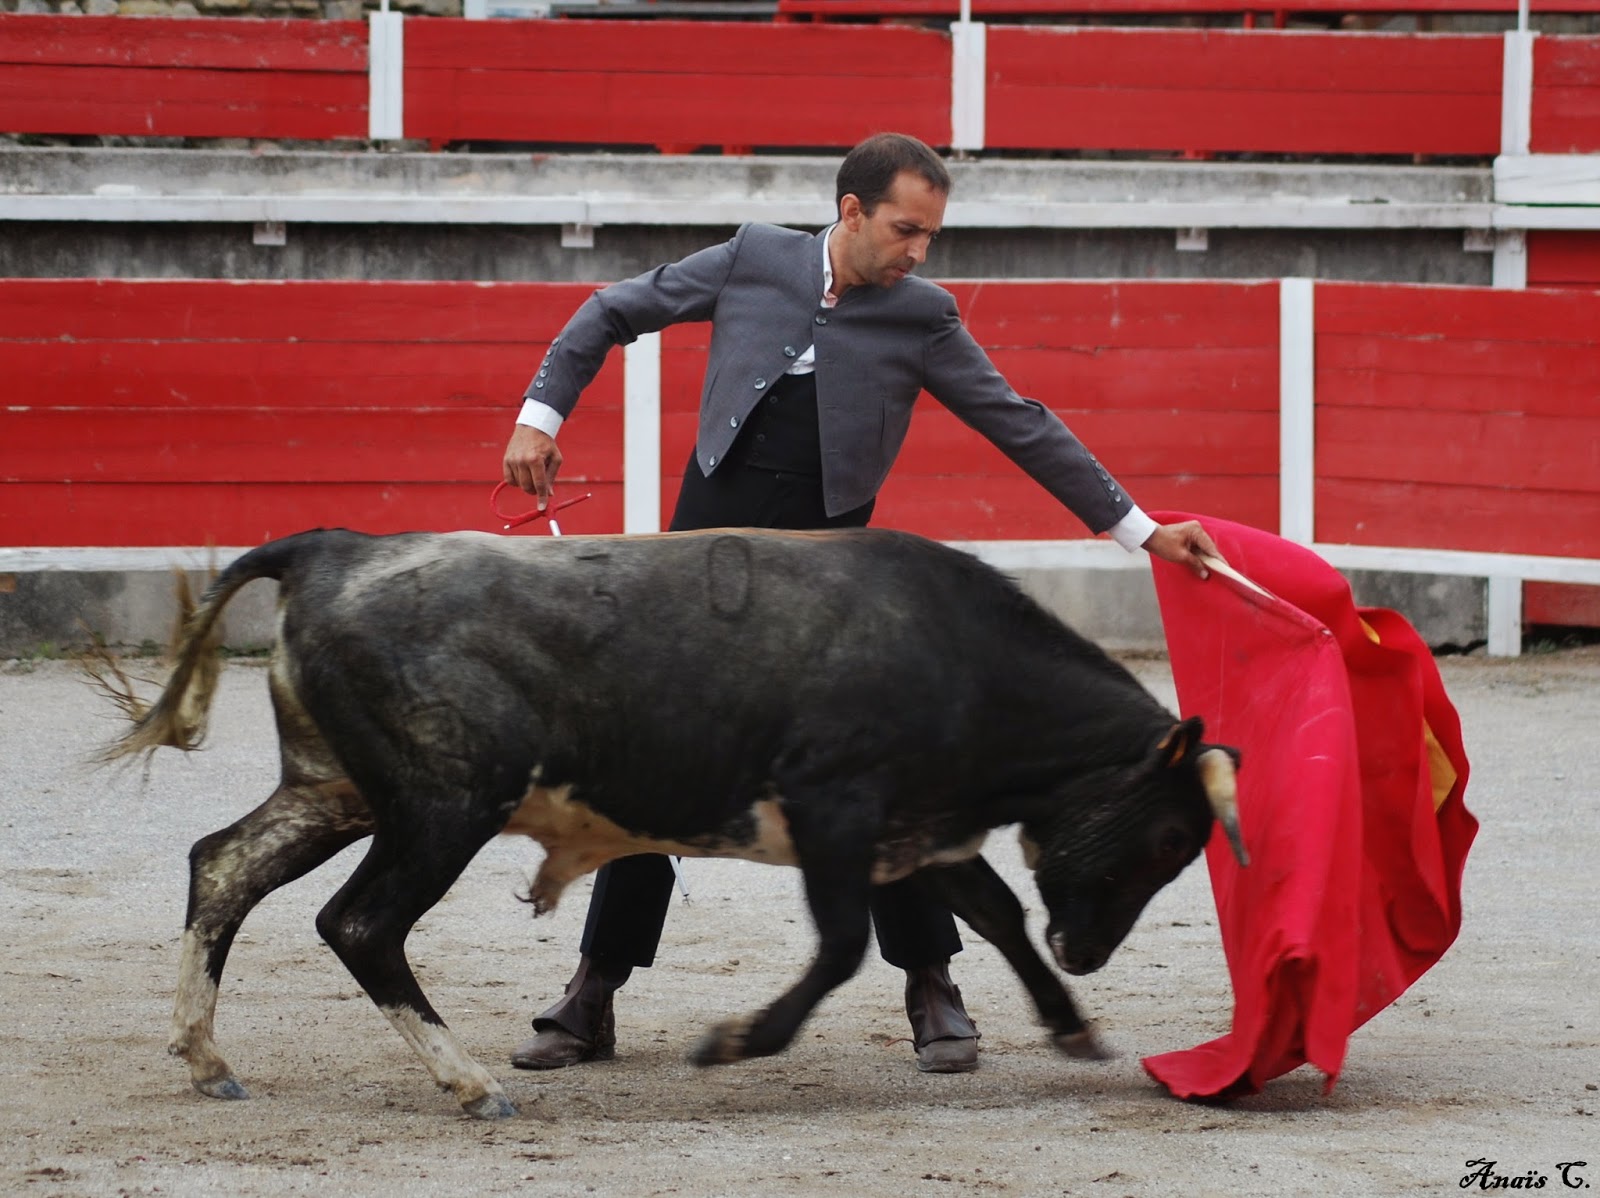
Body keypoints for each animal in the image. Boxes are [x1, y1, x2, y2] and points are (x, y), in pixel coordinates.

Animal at [98, 525, 1246, 1120]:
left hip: (336, 790)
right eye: (1167, 840)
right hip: (442, 804)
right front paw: (734, 1041)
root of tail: (333, 547)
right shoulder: (838, 814)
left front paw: (1071, 1024)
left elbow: (996, 915)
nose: (1091, 952)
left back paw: (207, 1059)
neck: (960, 657)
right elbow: (841, 947)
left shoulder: (911, 831)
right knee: (359, 924)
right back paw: (470, 1083)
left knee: (223, 866)